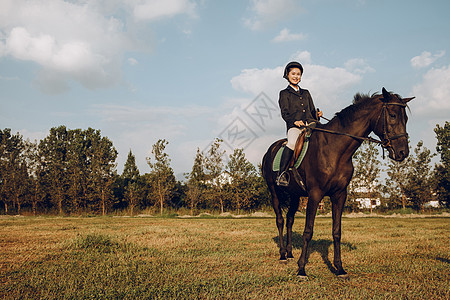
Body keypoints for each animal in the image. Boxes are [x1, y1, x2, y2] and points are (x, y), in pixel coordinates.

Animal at [262, 87, 414, 278]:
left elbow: (337, 231)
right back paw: (282, 255)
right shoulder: (315, 195)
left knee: (289, 220)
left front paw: (340, 268)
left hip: (295, 195)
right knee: (281, 220)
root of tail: (270, 150)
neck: (335, 149)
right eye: (393, 115)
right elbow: (308, 231)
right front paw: (302, 269)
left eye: (406, 119)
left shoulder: (340, 195)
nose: (402, 152)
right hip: (274, 191)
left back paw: (289, 254)